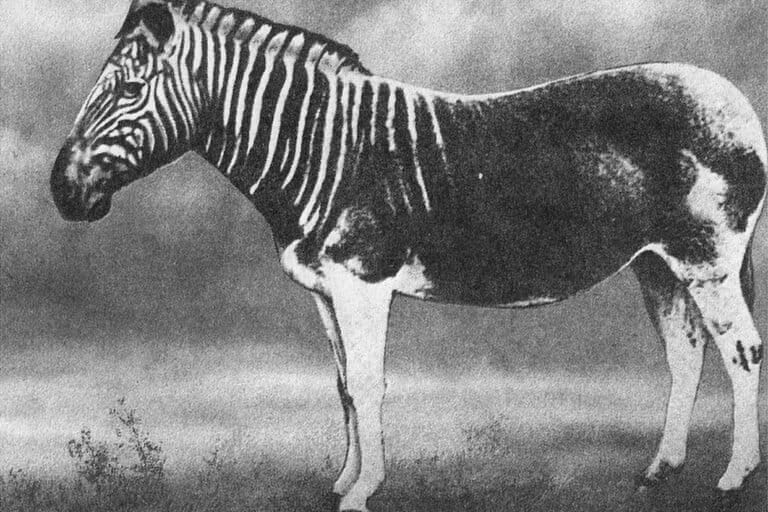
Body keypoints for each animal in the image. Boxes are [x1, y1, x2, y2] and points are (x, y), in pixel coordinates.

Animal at [50, 1, 766, 510]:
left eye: (129, 91)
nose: (62, 191)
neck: (322, 148)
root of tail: (732, 94)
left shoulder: (362, 282)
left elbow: (369, 383)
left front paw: (364, 493)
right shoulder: (325, 289)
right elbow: (344, 387)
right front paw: (341, 483)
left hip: (707, 259)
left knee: (742, 350)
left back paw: (734, 476)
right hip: (657, 263)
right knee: (686, 353)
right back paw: (659, 472)